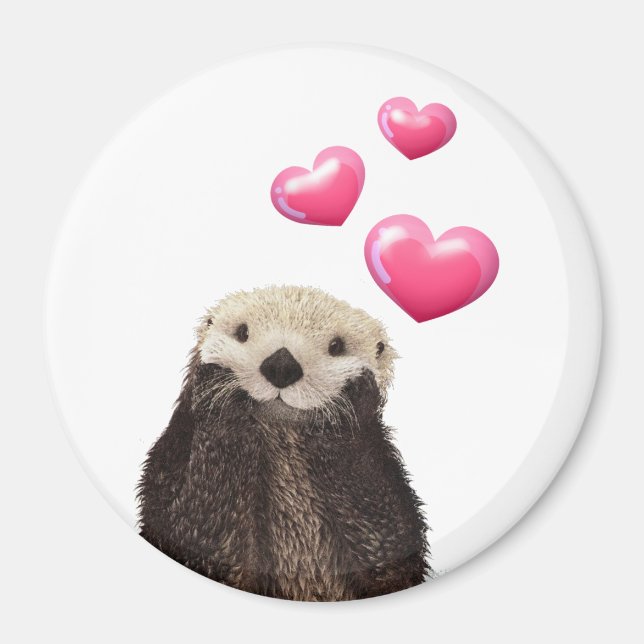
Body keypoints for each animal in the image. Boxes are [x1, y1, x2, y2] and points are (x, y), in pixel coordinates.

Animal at [137, 285, 429, 601]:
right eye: (242, 332)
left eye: (336, 346)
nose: (281, 365)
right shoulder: (171, 468)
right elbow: (202, 540)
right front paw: (219, 389)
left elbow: (387, 550)